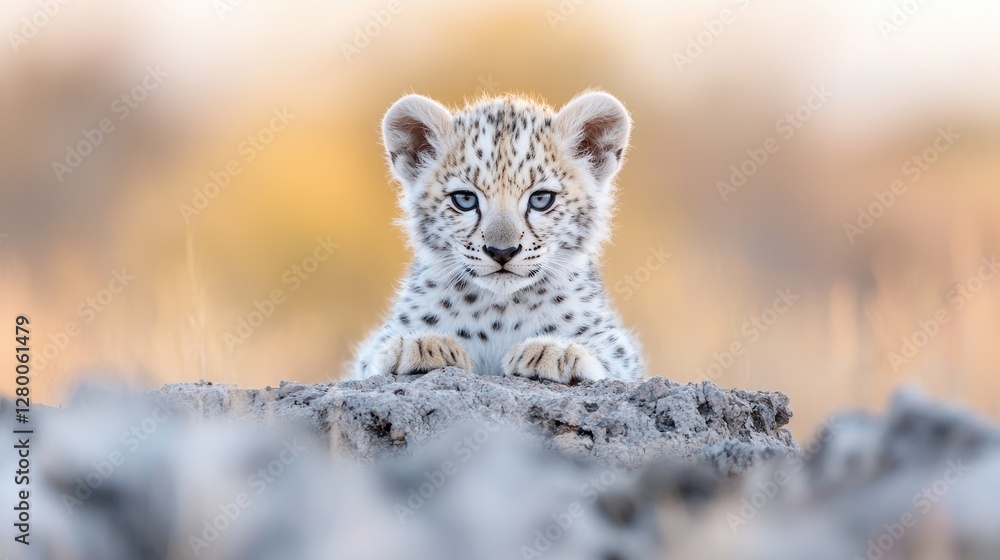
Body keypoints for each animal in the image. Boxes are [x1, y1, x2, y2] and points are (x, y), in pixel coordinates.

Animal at [352, 90, 644, 383]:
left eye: (541, 199)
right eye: (465, 199)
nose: (501, 251)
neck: (499, 312)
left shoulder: (618, 347)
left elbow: (612, 354)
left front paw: (554, 351)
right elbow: (373, 354)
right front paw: (419, 345)